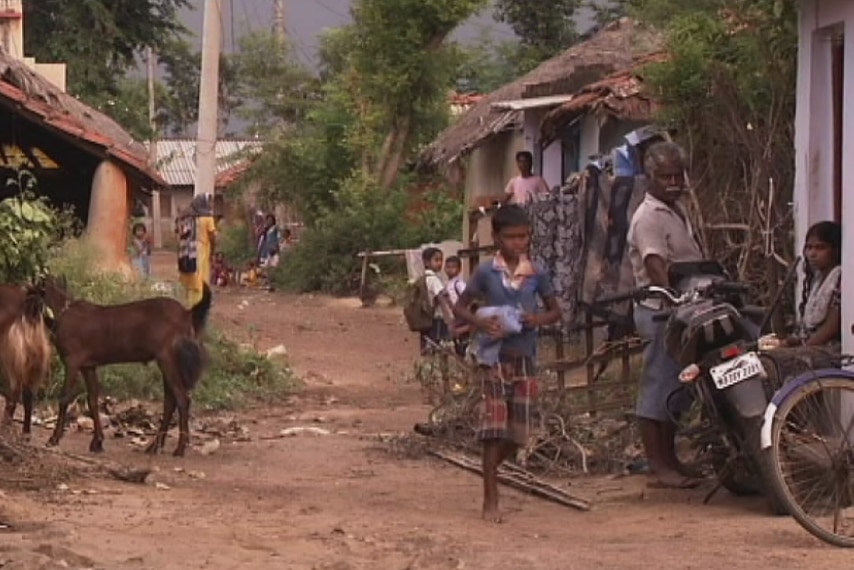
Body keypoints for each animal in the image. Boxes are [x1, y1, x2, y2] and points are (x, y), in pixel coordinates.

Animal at [42, 278, 213, 454]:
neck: (62, 312)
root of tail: (187, 314)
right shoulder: (88, 366)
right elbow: (93, 400)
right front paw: (97, 442)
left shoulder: (72, 362)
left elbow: (64, 398)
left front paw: (53, 439)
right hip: (168, 362)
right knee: (170, 401)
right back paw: (154, 446)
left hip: (167, 359)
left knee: (182, 398)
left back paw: (179, 448)